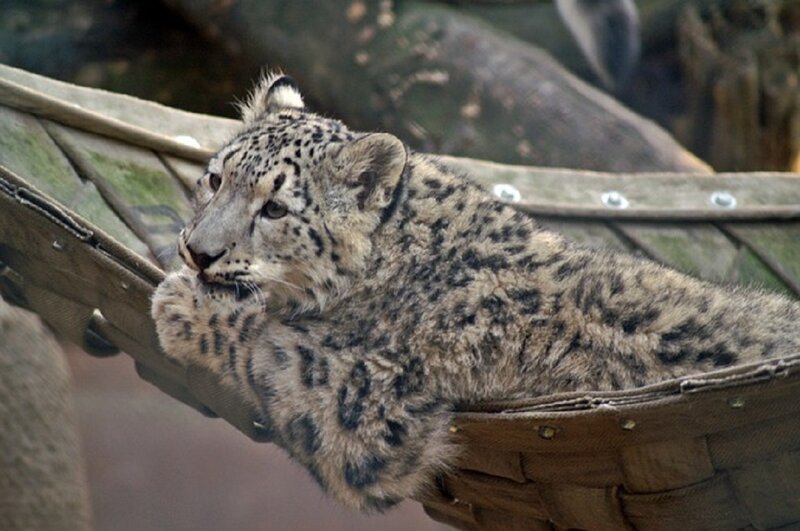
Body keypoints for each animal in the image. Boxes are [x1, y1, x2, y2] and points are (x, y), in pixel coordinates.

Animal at [152, 73, 800, 511]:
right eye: (215, 178)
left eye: (276, 208)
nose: (198, 251)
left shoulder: (364, 403)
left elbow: (266, 344)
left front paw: (180, 304)